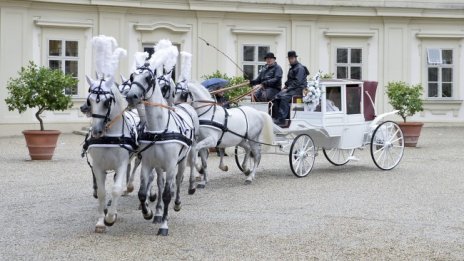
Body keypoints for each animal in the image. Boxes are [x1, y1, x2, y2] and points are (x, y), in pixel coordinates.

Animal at [126, 44, 198, 236]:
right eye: (132, 76)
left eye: (149, 78)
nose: (131, 96)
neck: (157, 129)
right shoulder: (147, 163)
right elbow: (143, 193)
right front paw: (149, 213)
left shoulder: (171, 164)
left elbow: (167, 194)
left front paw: (164, 225)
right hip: (159, 166)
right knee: (159, 183)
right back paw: (157, 212)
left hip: (182, 160)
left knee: (178, 182)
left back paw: (177, 203)